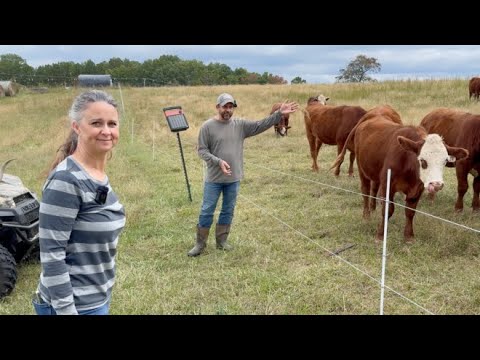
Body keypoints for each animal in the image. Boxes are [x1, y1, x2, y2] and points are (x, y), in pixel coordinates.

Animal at [332, 107, 466, 242]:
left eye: (445, 161)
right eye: (422, 160)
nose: (436, 184)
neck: (407, 164)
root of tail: (372, 115)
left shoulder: (417, 189)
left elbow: (410, 211)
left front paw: (409, 236)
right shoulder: (388, 185)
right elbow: (388, 209)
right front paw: (380, 234)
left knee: (374, 189)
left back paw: (373, 208)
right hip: (362, 170)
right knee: (365, 191)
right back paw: (367, 215)